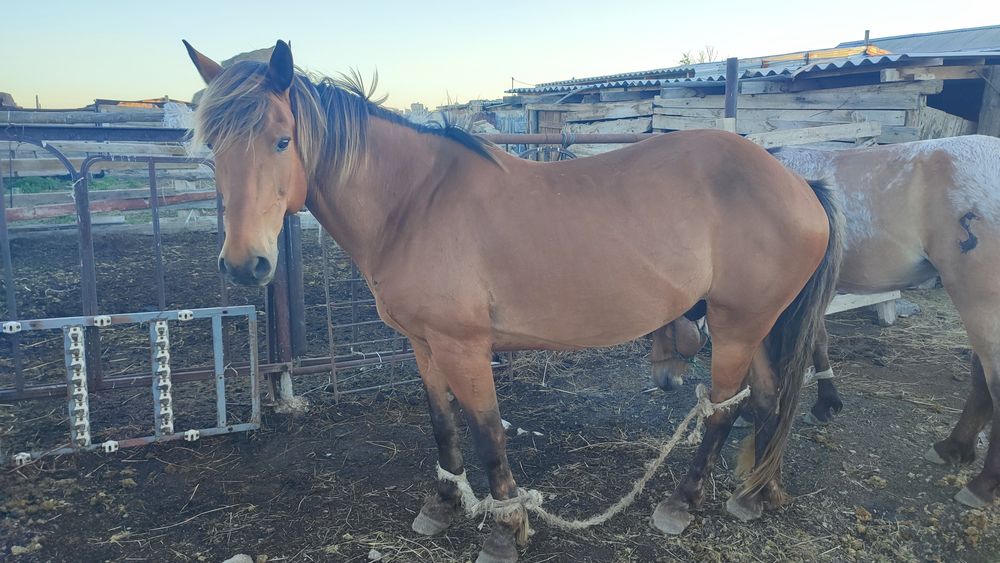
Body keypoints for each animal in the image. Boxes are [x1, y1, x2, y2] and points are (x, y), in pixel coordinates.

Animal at [183, 39, 841, 562]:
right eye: (211, 145)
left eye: (281, 141)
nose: (244, 264)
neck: (413, 204)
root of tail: (799, 184)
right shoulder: (423, 345)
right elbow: (443, 426)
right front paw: (443, 505)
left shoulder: (465, 347)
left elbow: (487, 434)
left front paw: (503, 531)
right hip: (759, 325)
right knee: (767, 399)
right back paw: (754, 495)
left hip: (735, 326)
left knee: (723, 411)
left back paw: (682, 503)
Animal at [651, 135, 1000, 510]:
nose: (665, 380)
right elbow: (818, 340)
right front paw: (824, 403)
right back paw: (955, 447)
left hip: (979, 300)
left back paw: (983, 483)